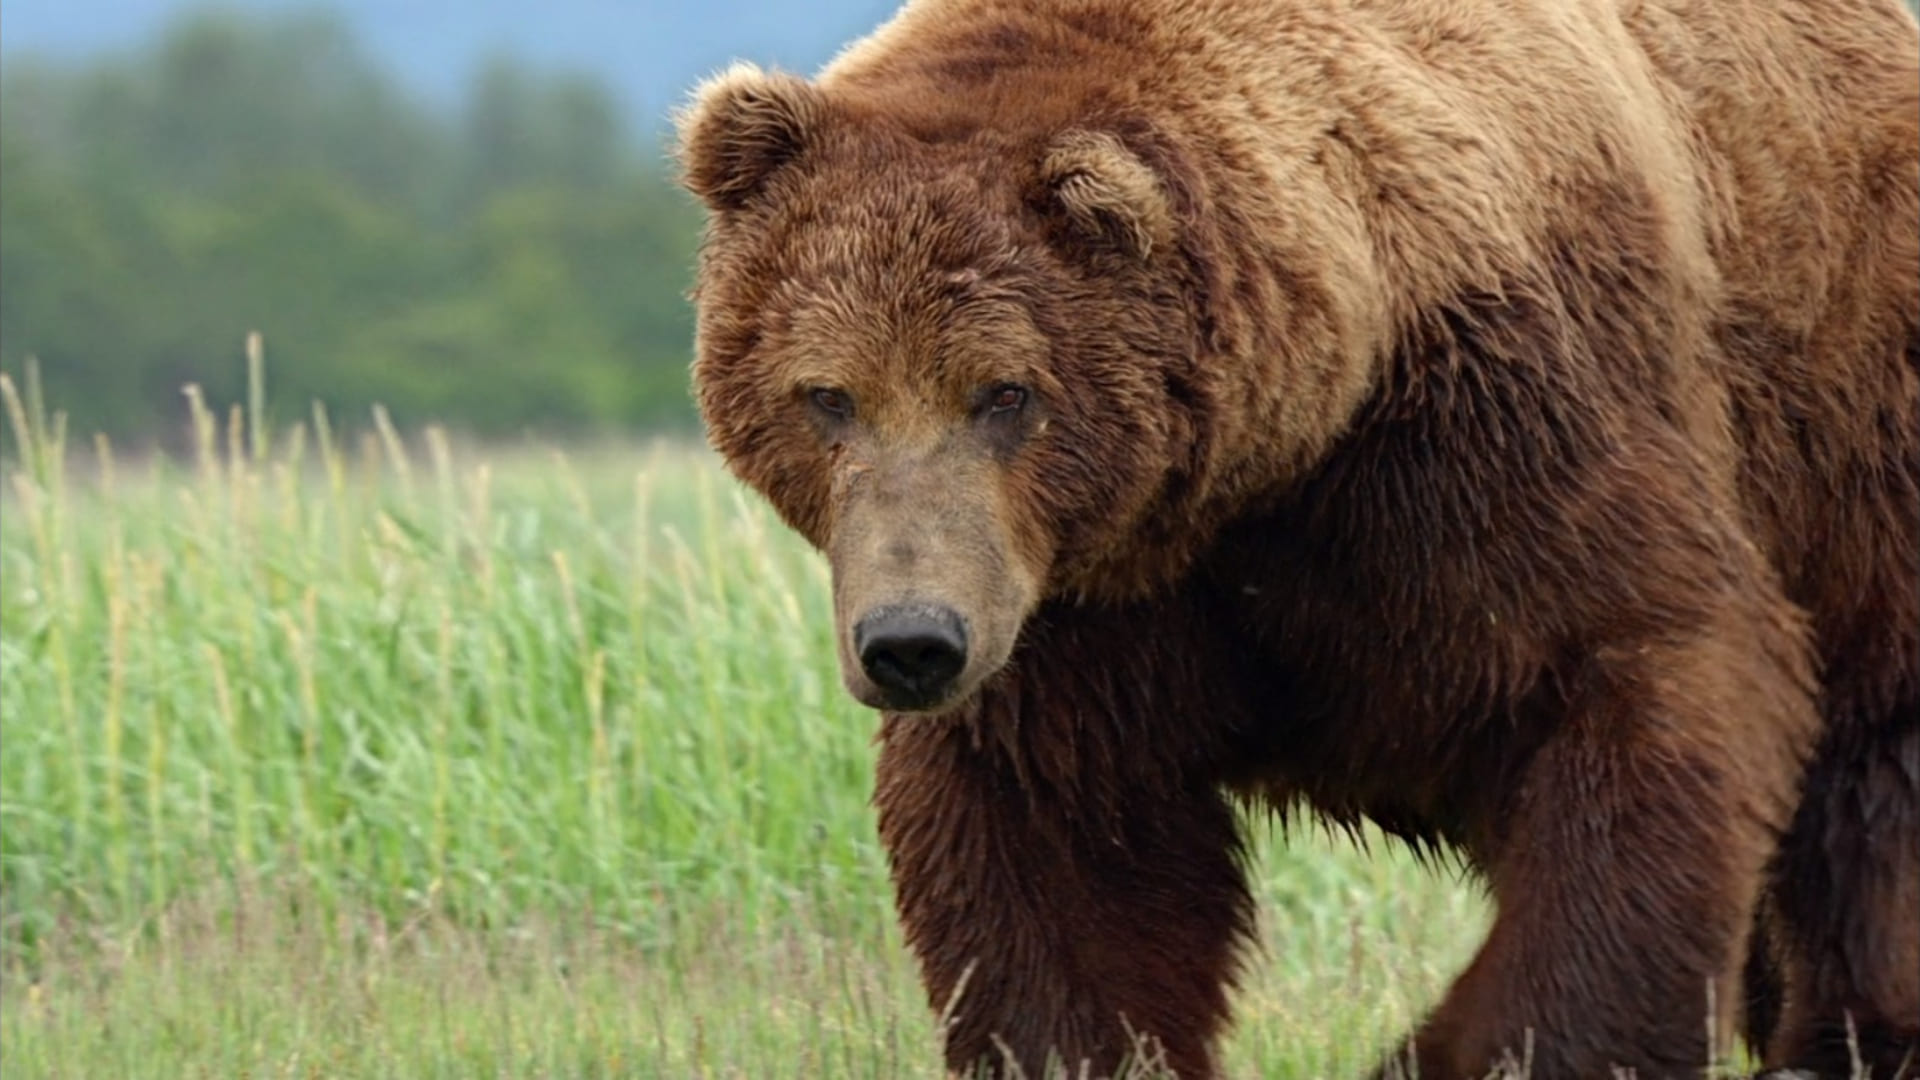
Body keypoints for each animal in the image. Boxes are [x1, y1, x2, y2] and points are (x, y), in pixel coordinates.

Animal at [672, 0, 1920, 1076]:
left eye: (1005, 393)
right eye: (828, 395)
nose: (912, 643)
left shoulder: (1494, 434)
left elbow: (1646, 675)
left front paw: (1458, 1049)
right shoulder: (1091, 603)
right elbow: (1055, 848)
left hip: (1859, 426)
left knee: (1873, 775)